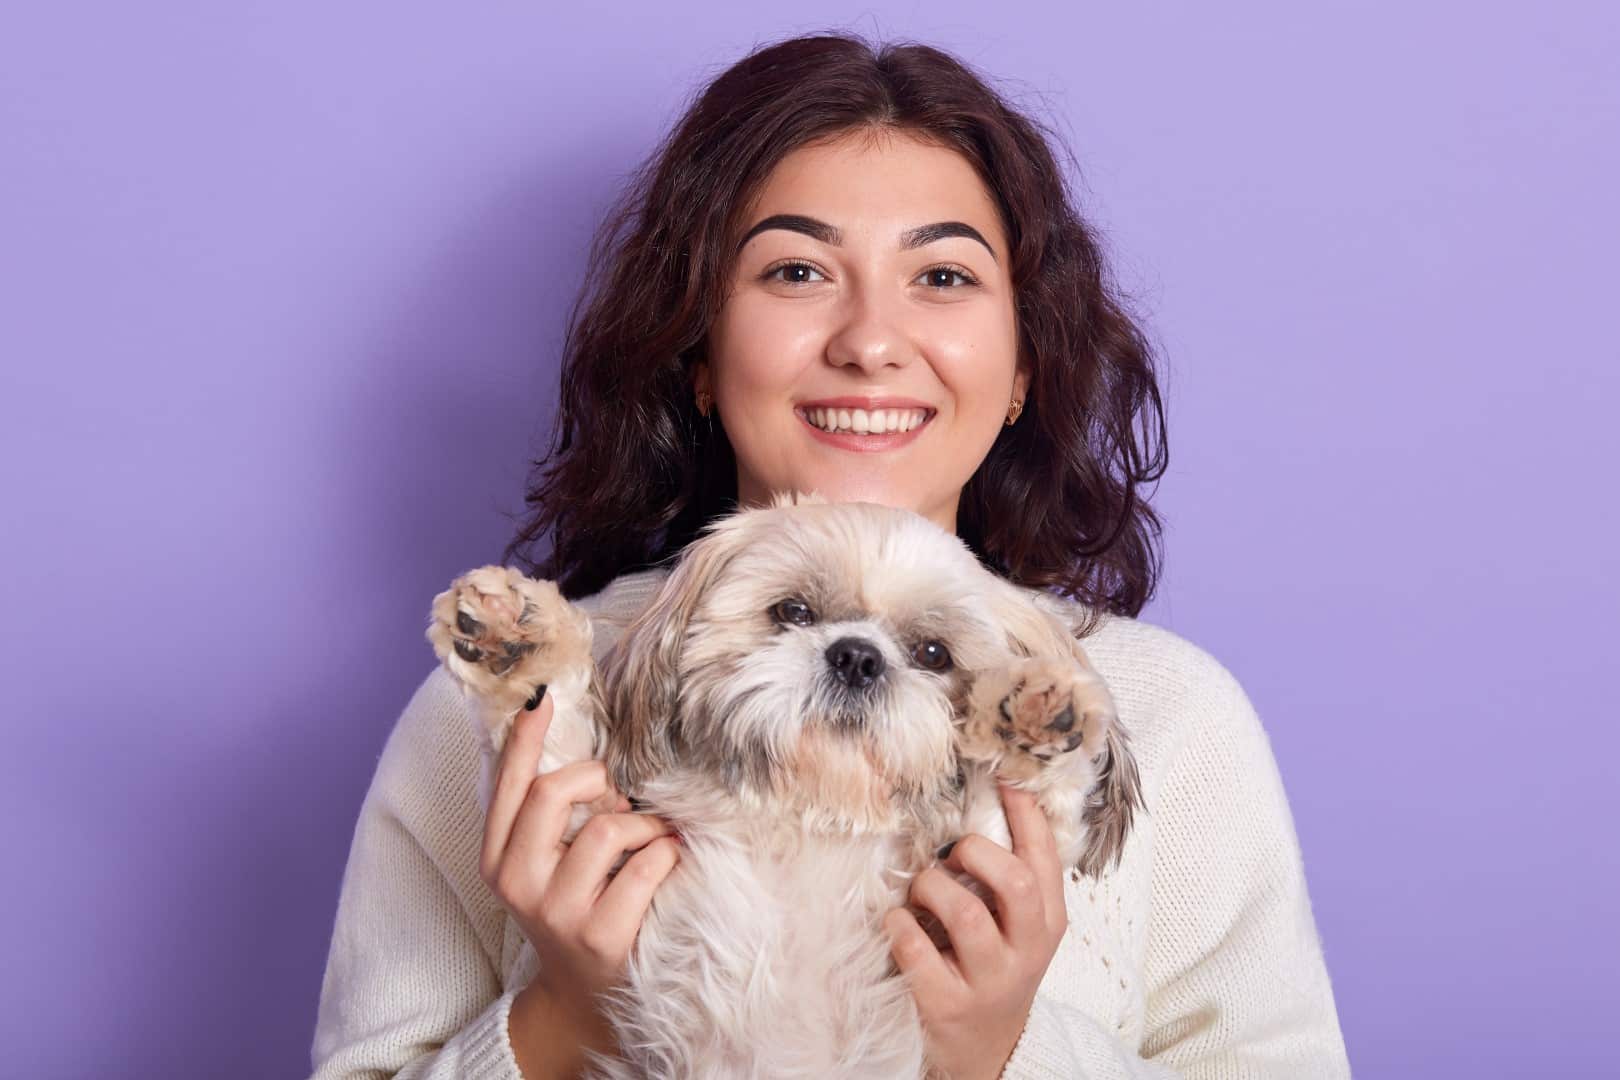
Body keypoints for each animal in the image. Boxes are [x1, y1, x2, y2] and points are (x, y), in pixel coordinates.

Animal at [424, 495, 1146, 1075]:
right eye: (793, 611)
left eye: (933, 654)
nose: (857, 657)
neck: (807, 827)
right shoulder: (607, 844)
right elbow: (555, 733)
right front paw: (512, 643)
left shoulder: (956, 892)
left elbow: (1014, 815)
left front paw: (1038, 718)